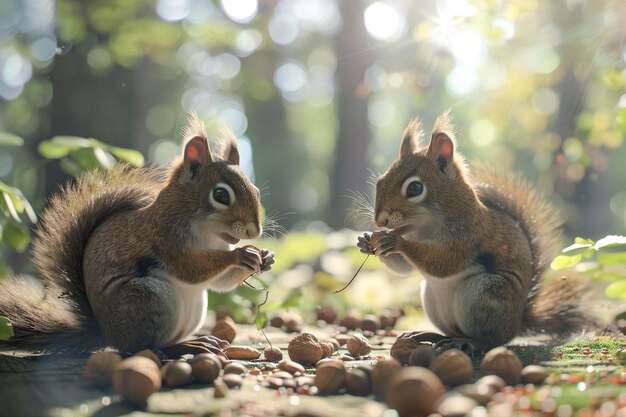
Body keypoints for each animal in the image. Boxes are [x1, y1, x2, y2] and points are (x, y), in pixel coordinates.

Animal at [0, 114, 272, 354]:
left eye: (256, 191)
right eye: (221, 195)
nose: (254, 231)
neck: (208, 233)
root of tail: (107, 334)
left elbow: (220, 282)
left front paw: (265, 258)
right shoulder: (163, 236)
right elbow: (189, 267)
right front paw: (240, 255)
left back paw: (197, 340)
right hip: (150, 300)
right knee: (144, 346)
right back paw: (185, 347)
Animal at [356, 109, 588, 352]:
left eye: (415, 188)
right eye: (380, 181)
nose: (380, 220)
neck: (425, 227)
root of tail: (516, 325)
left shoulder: (469, 233)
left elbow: (445, 261)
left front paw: (396, 242)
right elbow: (403, 268)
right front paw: (365, 241)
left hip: (482, 296)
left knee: (491, 339)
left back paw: (469, 341)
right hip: (432, 299)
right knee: (450, 330)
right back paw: (430, 335)